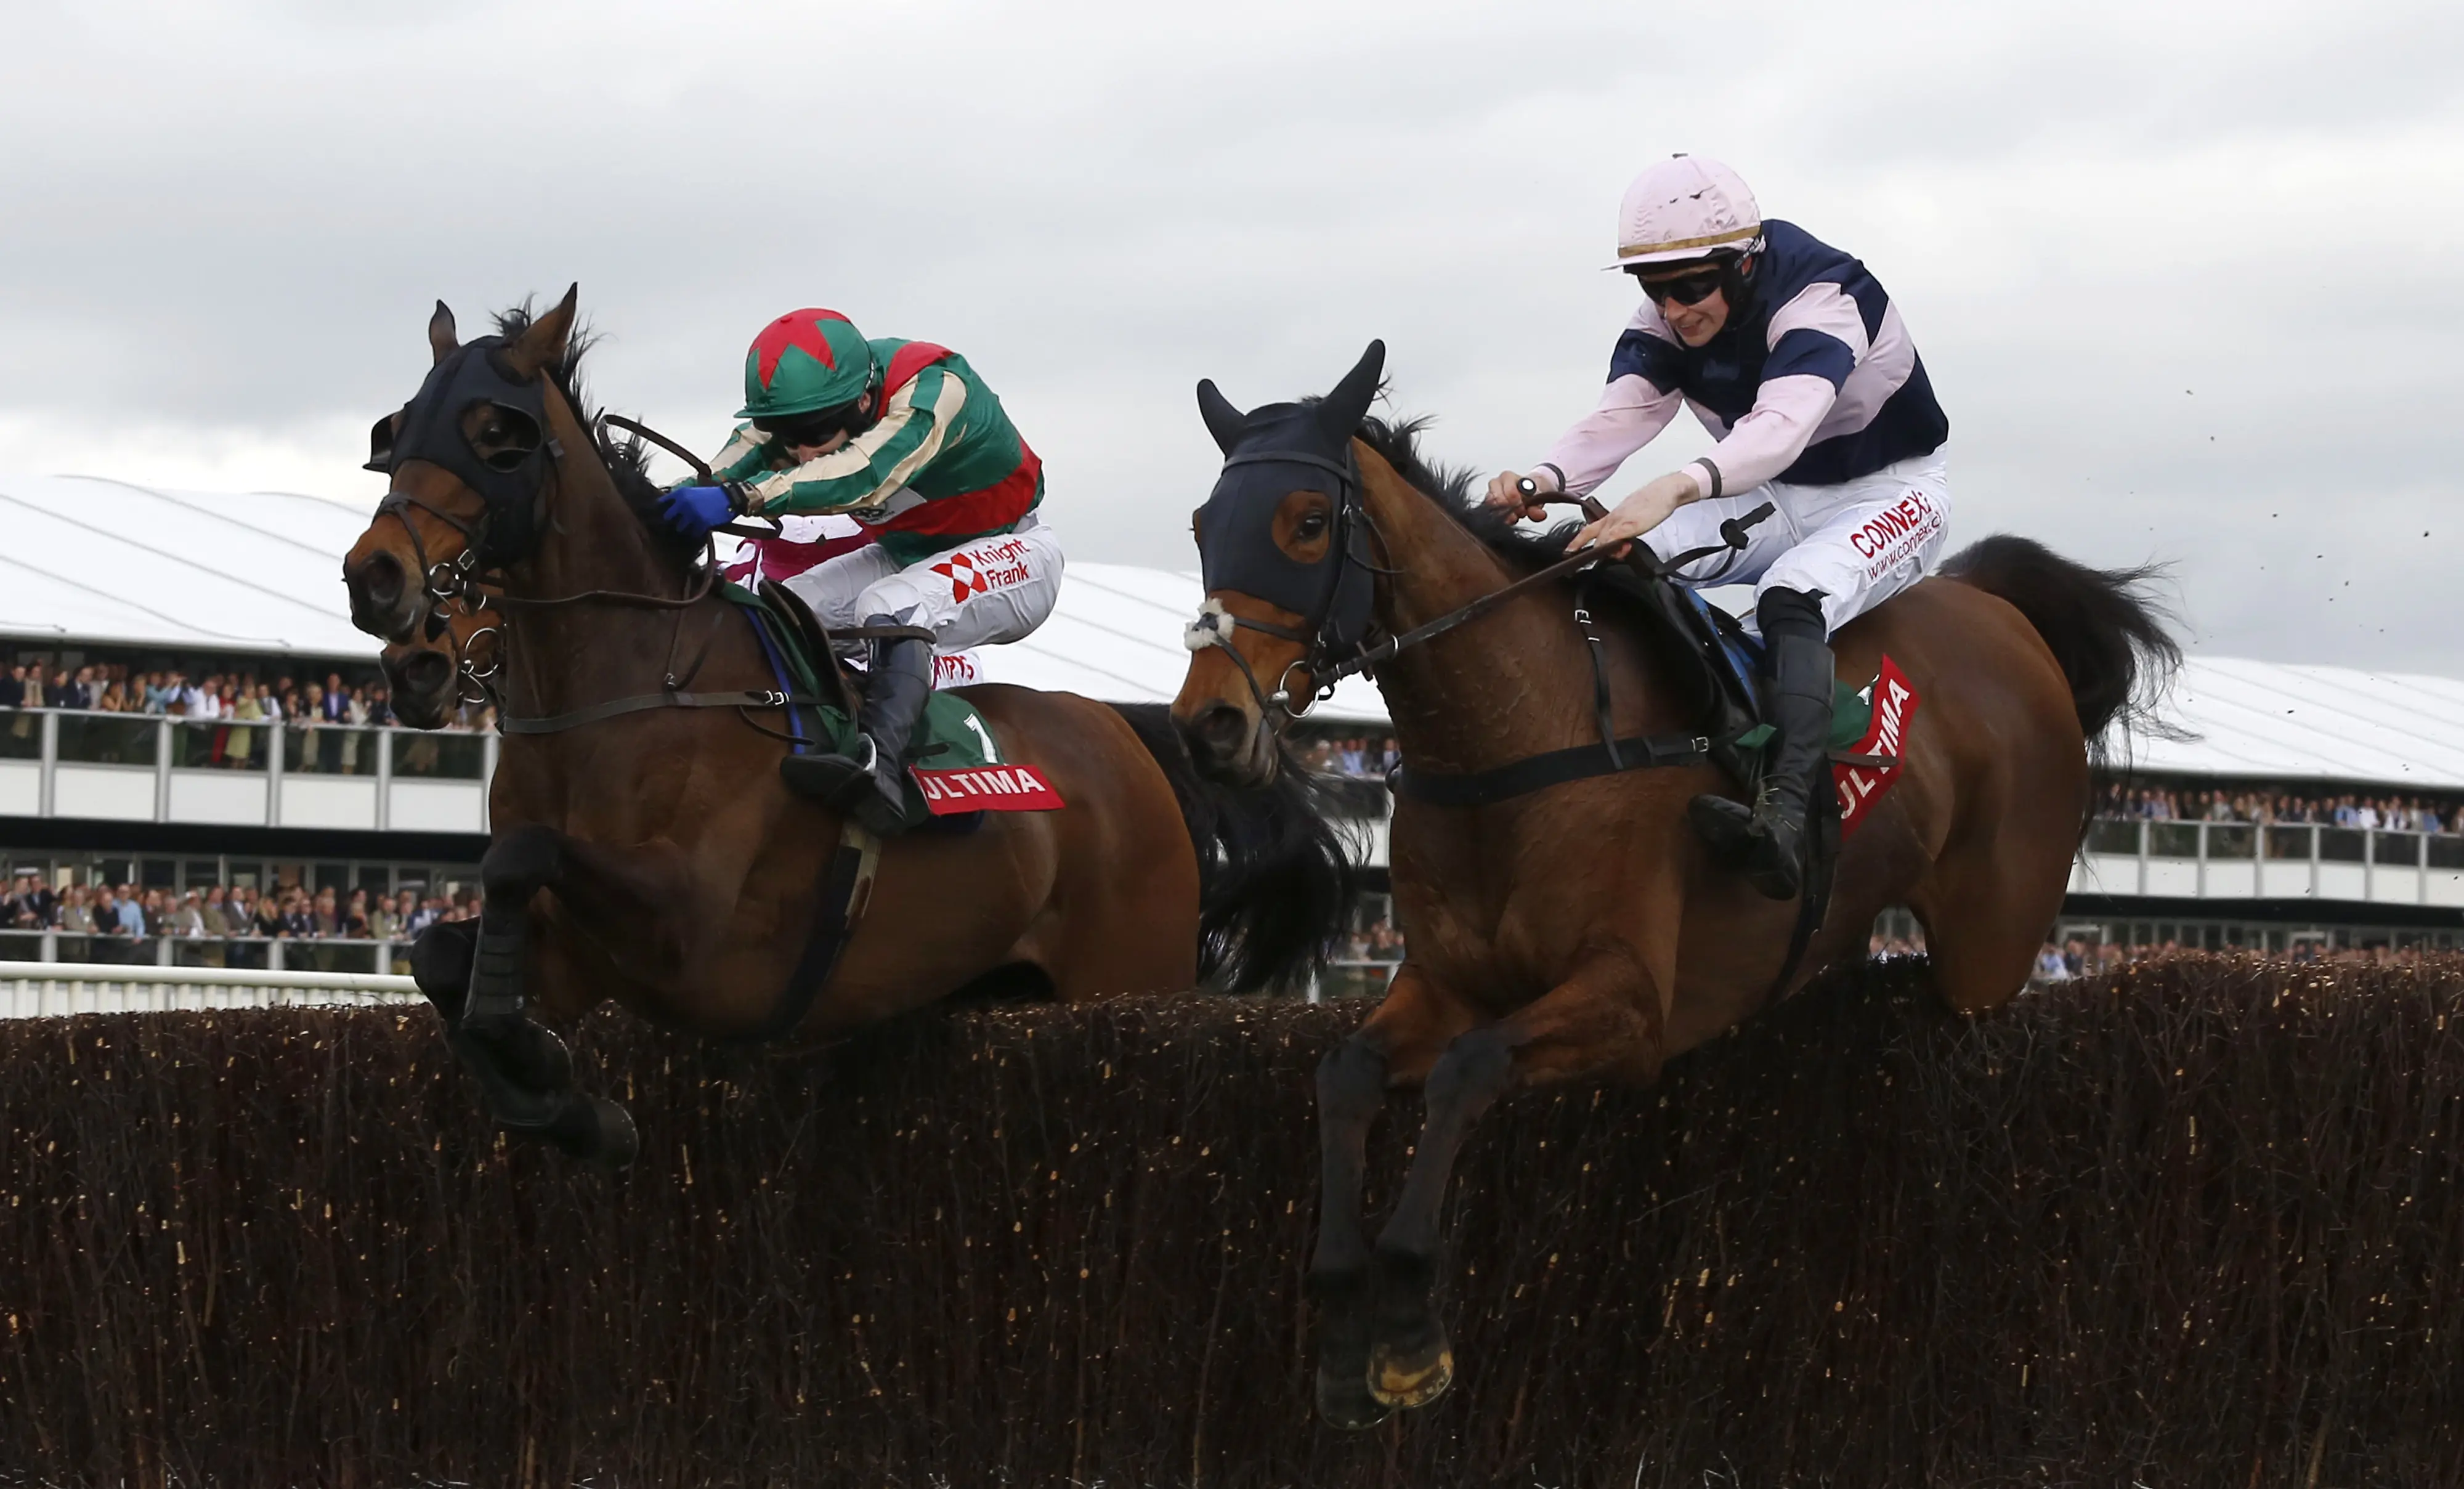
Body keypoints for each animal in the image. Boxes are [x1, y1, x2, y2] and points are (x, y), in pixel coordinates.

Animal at [341, 288, 1353, 1164]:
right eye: (397, 430)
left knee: (900, 608)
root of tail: (1131, 738)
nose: (377, 582)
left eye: (497, 437)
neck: (634, 687)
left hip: (1125, 965)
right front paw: (558, 1097)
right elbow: (441, 952)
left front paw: (557, 1087)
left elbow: (521, 857)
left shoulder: (690, 925)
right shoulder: (583, 955)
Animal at [1169, 342, 2178, 1427]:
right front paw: (1342, 1333)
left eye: (1308, 522)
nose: (1209, 727)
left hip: (1994, 936)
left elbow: (1469, 1068)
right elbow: (1344, 1074)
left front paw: (1407, 1335)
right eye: (1202, 525)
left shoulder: (1629, 1007)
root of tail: (1997, 609)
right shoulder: (1441, 982)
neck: (1517, 730)